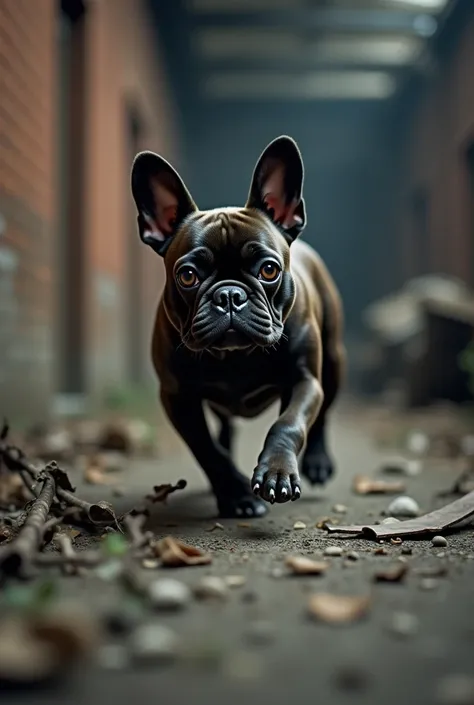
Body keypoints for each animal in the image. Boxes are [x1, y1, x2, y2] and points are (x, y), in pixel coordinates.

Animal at [131, 135, 344, 516]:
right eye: (188, 276)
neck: (235, 357)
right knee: (224, 430)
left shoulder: (304, 380)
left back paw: (318, 461)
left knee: (322, 415)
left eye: (269, 270)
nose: (229, 294)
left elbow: (289, 423)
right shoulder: (178, 397)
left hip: (333, 362)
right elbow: (207, 450)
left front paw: (276, 472)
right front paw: (237, 495)